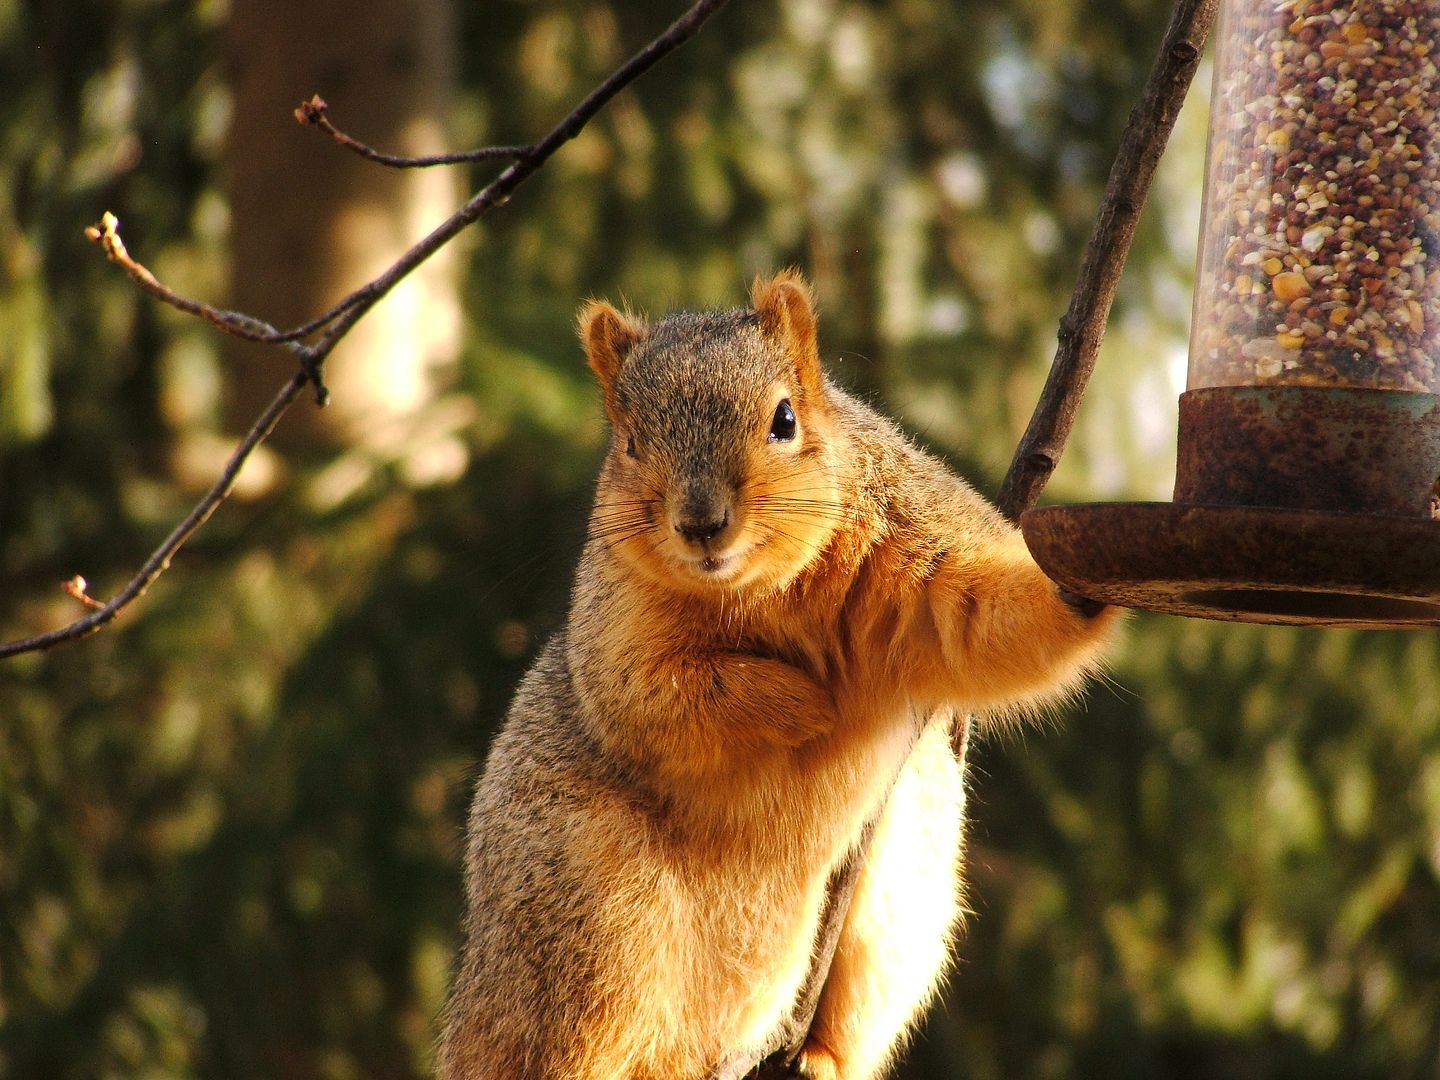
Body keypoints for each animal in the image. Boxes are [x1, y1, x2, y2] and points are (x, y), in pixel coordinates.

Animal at [437, 270, 1123, 1080]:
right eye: (629, 443)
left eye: (785, 419)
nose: (701, 524)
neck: (769, 588)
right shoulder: (619, 633)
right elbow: (654, 699)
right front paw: (809, 703)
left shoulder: (922, 547)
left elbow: (987, 614)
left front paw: (1082, 585)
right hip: (591, 911)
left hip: (897, 907)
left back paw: (821, 1059)